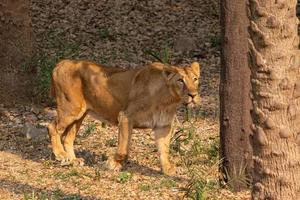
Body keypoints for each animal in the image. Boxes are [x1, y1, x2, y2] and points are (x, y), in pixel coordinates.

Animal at [48, 59, 200, 175]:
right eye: (180, 80)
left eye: (195, 79)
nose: (193, 95)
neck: (168, 100)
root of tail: (62, 63)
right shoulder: (126, 117)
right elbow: (123, 149)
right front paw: (113, 164)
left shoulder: (163, 126)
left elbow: (164, 150)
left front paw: (168, 169)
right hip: (70, 109)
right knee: (52, 127)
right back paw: (61, 155)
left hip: (80, 114)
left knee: (67, 137)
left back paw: (72, 160)